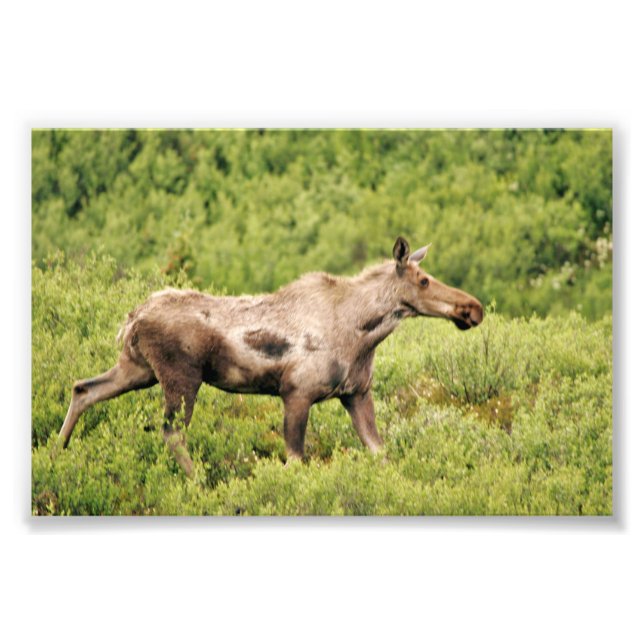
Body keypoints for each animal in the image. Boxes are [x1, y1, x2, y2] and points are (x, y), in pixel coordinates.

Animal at [58, 237, 484, 476]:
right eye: (423, 280)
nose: (473, 308)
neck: (362, 335)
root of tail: (132, 318)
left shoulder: (356, 393)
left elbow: (382, 453)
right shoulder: (297, 393)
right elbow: (294, 460)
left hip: (138, 368)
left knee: (83, 388)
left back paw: (56, 452)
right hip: (180, 378)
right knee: (171, 432)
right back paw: (199, 483)